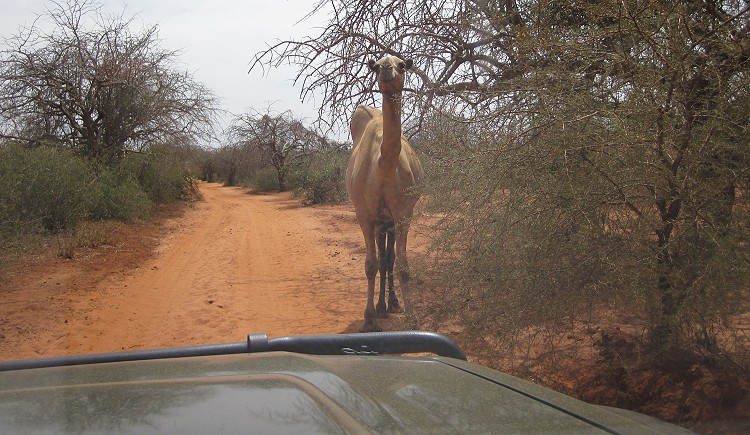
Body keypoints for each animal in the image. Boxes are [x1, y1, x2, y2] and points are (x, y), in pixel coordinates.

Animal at [346, 56, 424, 332]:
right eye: (377, 65)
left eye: (402, 64)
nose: (387, 72)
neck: (383, 165)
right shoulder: (364, 214)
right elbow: (371, 265)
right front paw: (369, 319)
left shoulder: (403, 213)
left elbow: (402, 265)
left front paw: (412, 317)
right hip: (380, 220)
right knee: (381, 259)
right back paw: (381, 307)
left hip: (389, 220)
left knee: (389, 258)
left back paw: (392, 304)